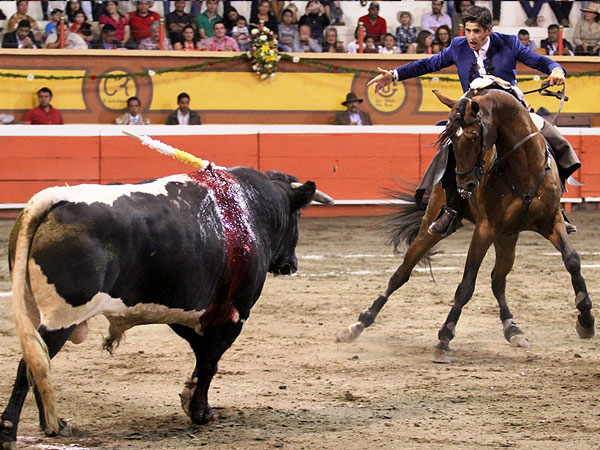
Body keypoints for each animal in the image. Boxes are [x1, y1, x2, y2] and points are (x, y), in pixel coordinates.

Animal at [0, 165, 333, 449]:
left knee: (39, 365)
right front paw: (200, 412)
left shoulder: (188, 312)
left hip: (37, 312)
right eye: (297, 217)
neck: (250, 209)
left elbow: (202, 358)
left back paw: (54, 425)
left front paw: (191, 401)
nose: (292, 264)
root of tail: (54, 199)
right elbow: (210, 362)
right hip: (62, 317)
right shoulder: (233, 315)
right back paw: (12, 431)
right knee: (31, 365)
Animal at [336, 87, 595, 363]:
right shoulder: (485, 229)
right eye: (451, 137)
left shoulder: (551, 221)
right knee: (401, 274)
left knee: (497, 280)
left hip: (508, 237)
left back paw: (513, 330)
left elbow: (572, 260)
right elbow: (466, 284)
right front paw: (444, 339)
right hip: (435, 226)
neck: (524, 168)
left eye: (472, 137)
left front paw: (586, 319)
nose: (465, 185)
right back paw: (357, 325)